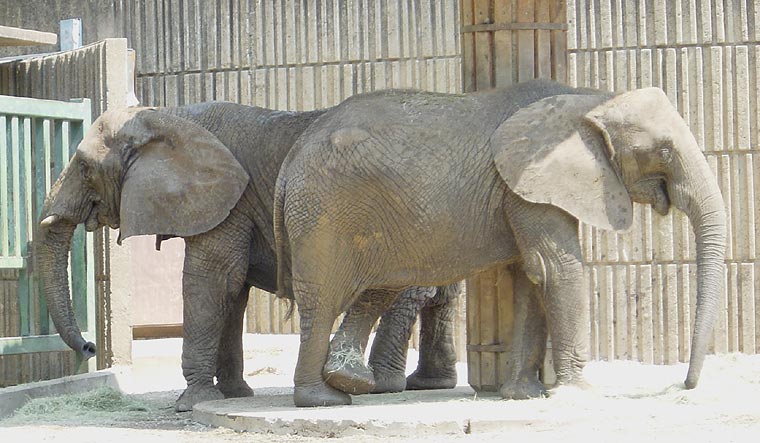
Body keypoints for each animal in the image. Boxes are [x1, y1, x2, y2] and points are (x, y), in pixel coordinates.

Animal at [36, 101, 460, 412]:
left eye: (84, 167)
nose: (89, 348)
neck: (170, 115)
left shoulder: (231, 202)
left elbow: (211, 280)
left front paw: (193, 402)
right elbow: (232, 290)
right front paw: (235, 394)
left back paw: (380, 386)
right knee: (440, 296)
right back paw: (428, 384)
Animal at [274, 79, 727, 407]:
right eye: (662, 151)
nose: (685, 386)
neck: (590, 99)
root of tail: (293, 152)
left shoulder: (528, 188)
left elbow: (532, 275)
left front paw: (523, 395)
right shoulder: (529, 184)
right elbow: (556, 269)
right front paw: (578, 394)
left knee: (380, 288)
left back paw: (348, 381)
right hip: (324, 214)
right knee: (323, 300)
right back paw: (324, 399)